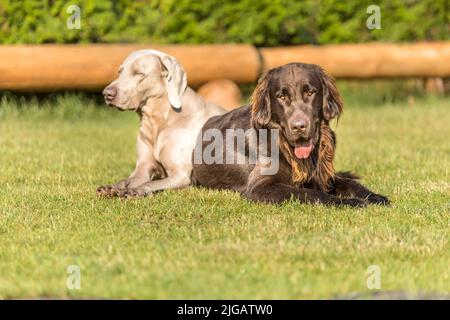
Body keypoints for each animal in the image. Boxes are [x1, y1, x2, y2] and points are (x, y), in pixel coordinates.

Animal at [192, 62, 388, 208]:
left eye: (310, 92)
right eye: (281, 96)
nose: (299, 126)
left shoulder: (324, 175)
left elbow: (351, 184)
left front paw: (375, 196)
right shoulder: (259, 187)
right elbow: (311, 193)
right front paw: (349, 202)